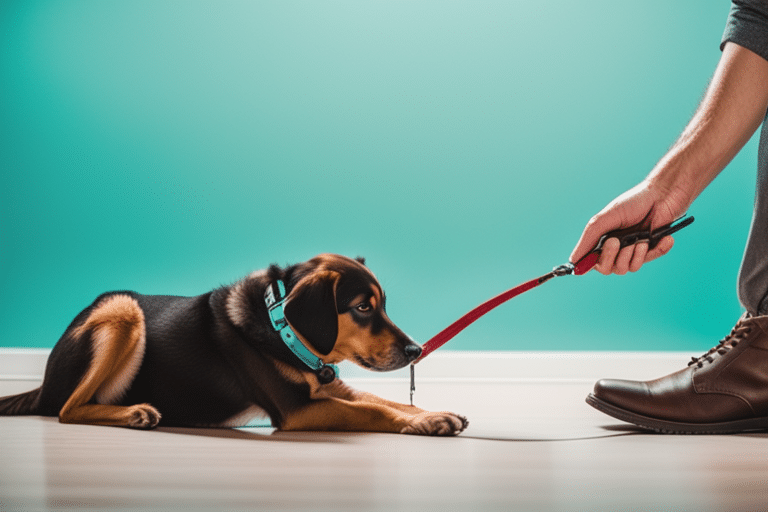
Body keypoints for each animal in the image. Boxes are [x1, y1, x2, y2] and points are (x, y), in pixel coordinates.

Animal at [0, 254, 468, 434]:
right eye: (362, 308)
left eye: (382, 305)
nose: (416, 351)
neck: (281, 328)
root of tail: (44, 383)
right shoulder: (299, 410)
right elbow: (373, 411)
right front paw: (425, 423)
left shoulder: (331, 389)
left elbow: (390, 401)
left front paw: (431, 413)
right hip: (120, 308)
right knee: (67, 410)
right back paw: (134, 412)